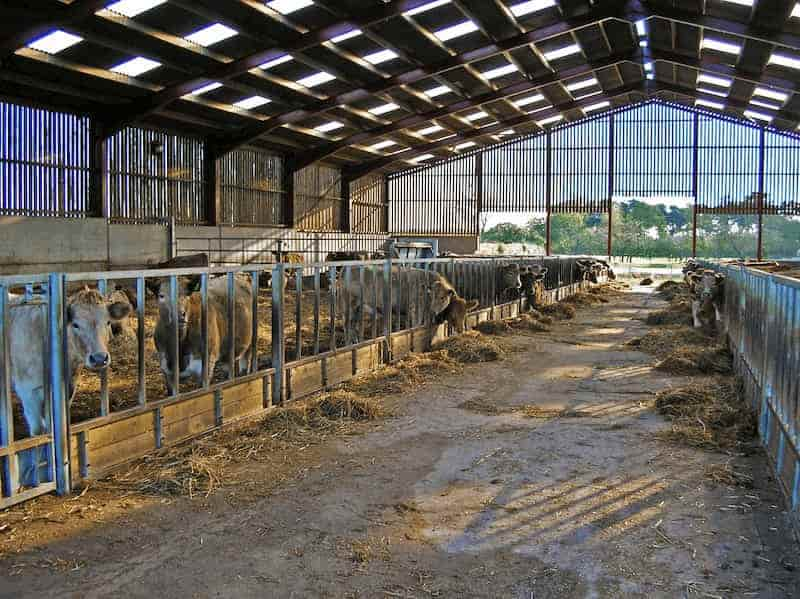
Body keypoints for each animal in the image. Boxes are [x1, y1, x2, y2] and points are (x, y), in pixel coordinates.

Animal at [9, 288, 131, 480]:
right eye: (75, 325)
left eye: (107, 322)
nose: (99, 358)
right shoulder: (28, 389)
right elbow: (39, 432)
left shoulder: (68, 388)